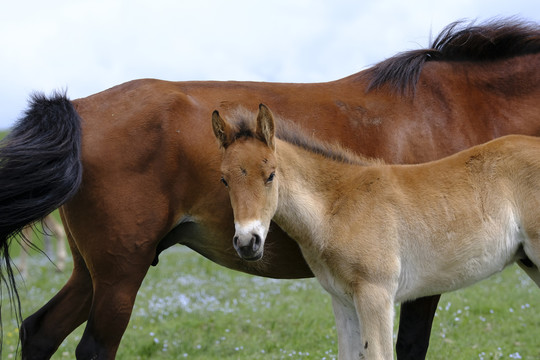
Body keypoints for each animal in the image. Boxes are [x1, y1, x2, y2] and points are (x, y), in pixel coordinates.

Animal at [0, 19, 536, 360]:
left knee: (38, 332)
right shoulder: (417, 282)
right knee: (92, 349)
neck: (457, 106)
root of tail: (79, 108)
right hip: (119, 275)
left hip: (94, 272)